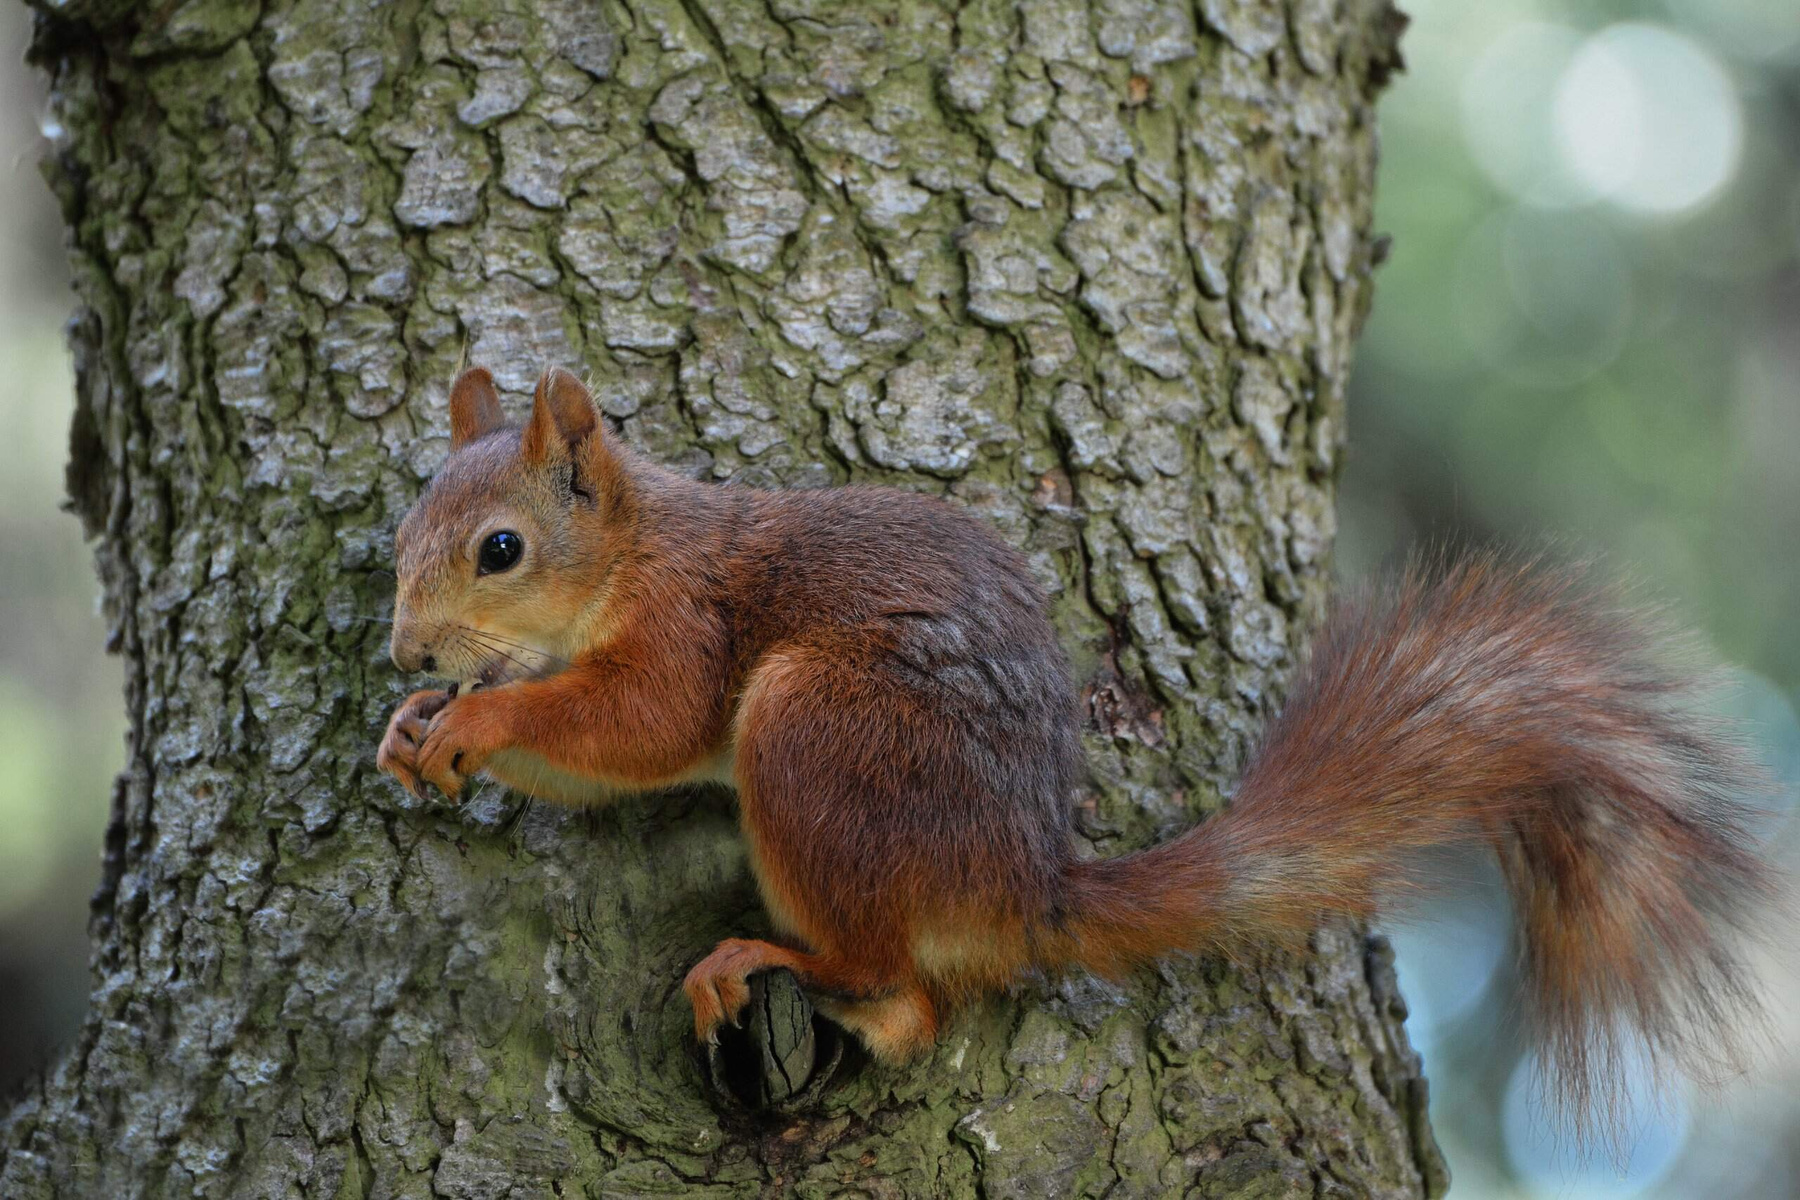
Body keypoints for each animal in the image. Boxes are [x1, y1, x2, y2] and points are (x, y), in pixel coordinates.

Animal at [378, 364, 1772, 1120]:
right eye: (401, 534)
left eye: (500, 548)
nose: (405, 657)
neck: (637, 546)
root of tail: (1019, 889)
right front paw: (412, 735)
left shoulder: (689, 631)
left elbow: (643, 725)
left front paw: (481, 714)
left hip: (820, 739)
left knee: (900, 988)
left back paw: (771, 958)